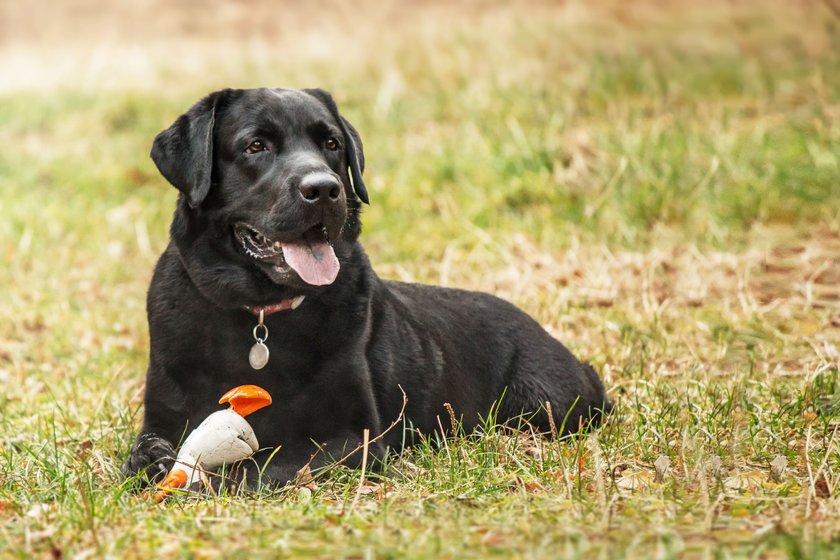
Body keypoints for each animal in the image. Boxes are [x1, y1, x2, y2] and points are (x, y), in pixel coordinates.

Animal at [123, 87, 612, 486]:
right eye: (255, 145)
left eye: (331, 144)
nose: (323, 189)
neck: (259, 315)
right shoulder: (163, 418)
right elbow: (145, 451)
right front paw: (153, 464)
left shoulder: (350, 437)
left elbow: (261, 463)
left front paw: (202, 479)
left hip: (545, 404)